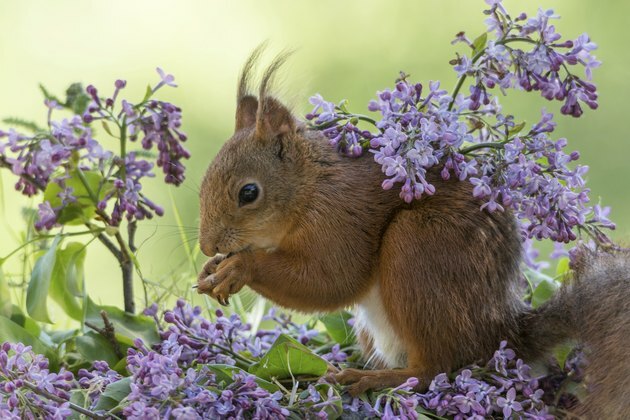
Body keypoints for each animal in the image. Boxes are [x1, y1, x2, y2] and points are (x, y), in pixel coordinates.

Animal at [198, 52, 630, 416]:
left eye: (248, 193)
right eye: (202, 183)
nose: (206, 245)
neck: (311, 185)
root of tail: (500, 336)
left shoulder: (340, 217)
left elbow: (332, 279)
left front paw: (240, 268)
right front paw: (213, 268)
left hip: (419, 249)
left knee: (432, 369)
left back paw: (371, 378)